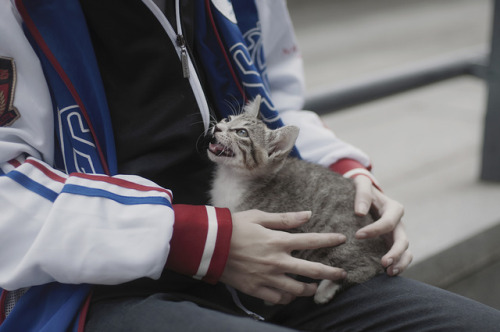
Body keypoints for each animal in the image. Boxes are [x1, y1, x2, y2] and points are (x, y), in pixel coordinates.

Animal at [207, 96, 386, 304]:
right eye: (228, 119)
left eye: (242, 132)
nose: (218, 127)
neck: (231, 179)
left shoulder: (283, 233)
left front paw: (272, 295)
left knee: (371, 265)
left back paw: (327, 288)